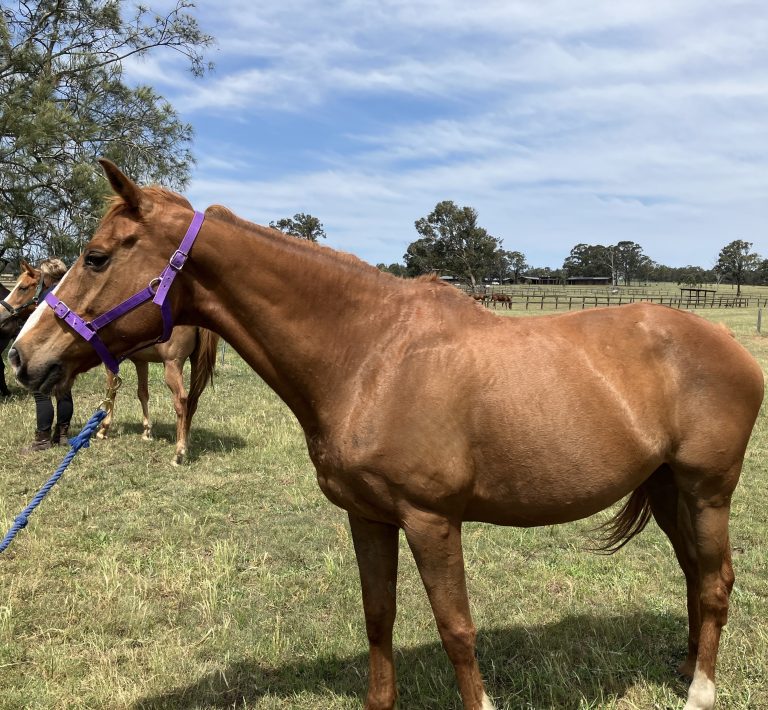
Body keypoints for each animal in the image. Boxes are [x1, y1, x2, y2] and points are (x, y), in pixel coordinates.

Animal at [0, 259, 219, 465]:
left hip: (173, 365)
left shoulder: (111, 363)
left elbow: (111, 393)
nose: (3, 312)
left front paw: (103, 429)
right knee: (193, 401)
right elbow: (142, 393)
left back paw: (179, 451)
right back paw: (185, 441)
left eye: (23, 287)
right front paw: (146, 432)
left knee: (181, 400)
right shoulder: (141, 362)